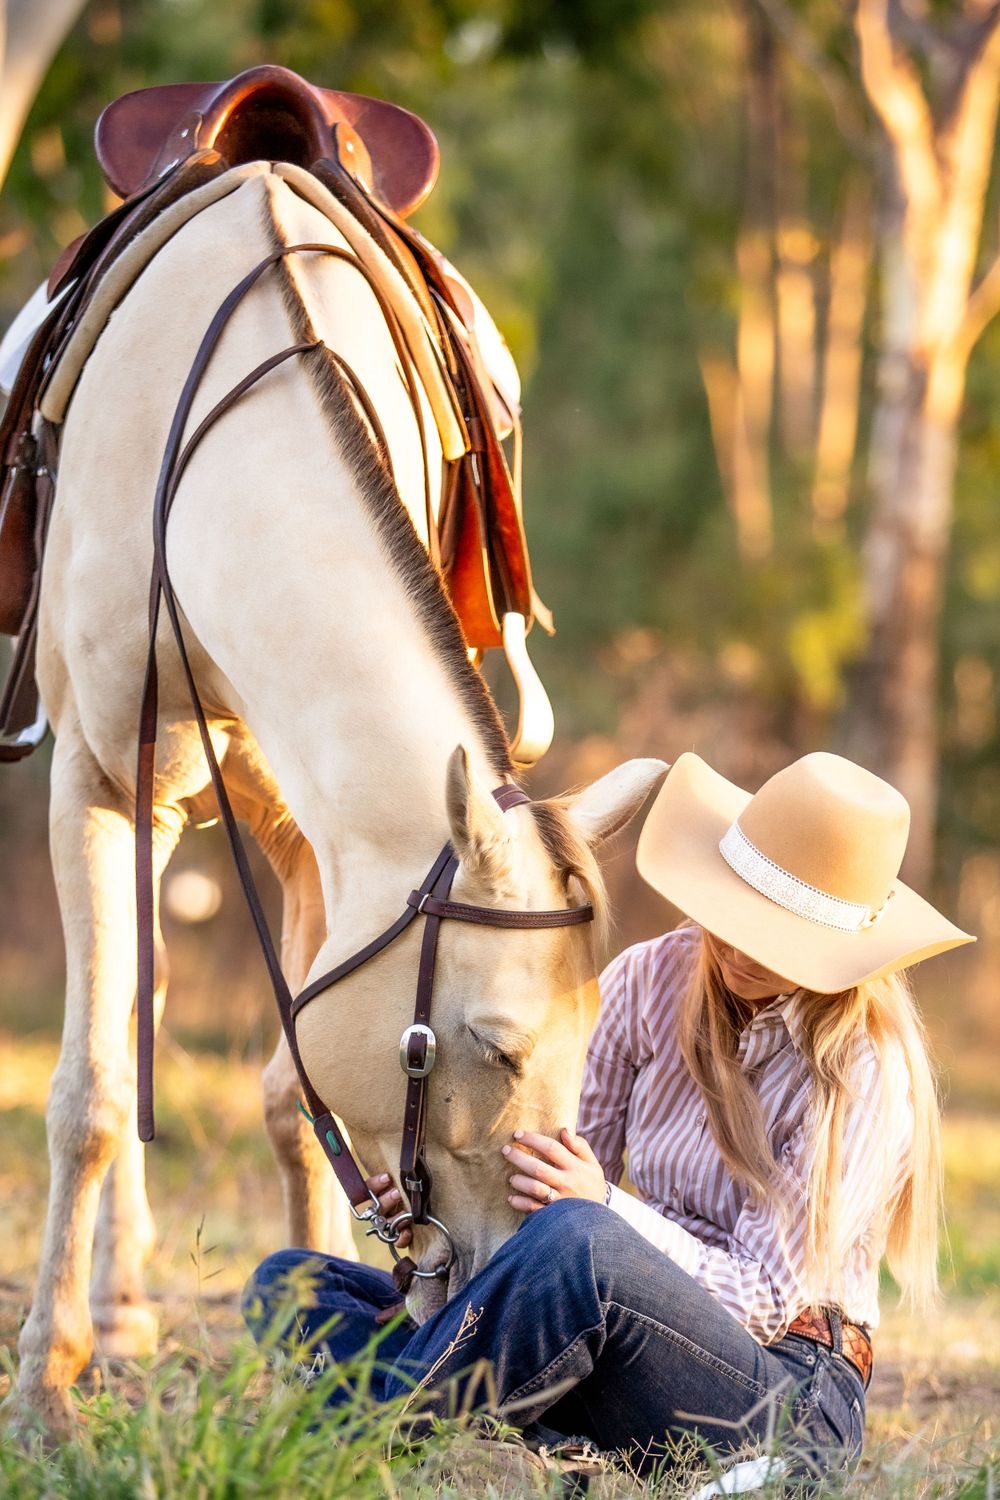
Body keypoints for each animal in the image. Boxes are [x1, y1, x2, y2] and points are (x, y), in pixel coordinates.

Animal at [8, 158, 665, 1434]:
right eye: (499, 1049)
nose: (527, 1251)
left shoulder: (317, 840)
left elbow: (289, 1097)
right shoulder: (97, 782)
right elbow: (94, 1094)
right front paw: (45, 1390)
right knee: (128, 1017)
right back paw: (105, 1317)